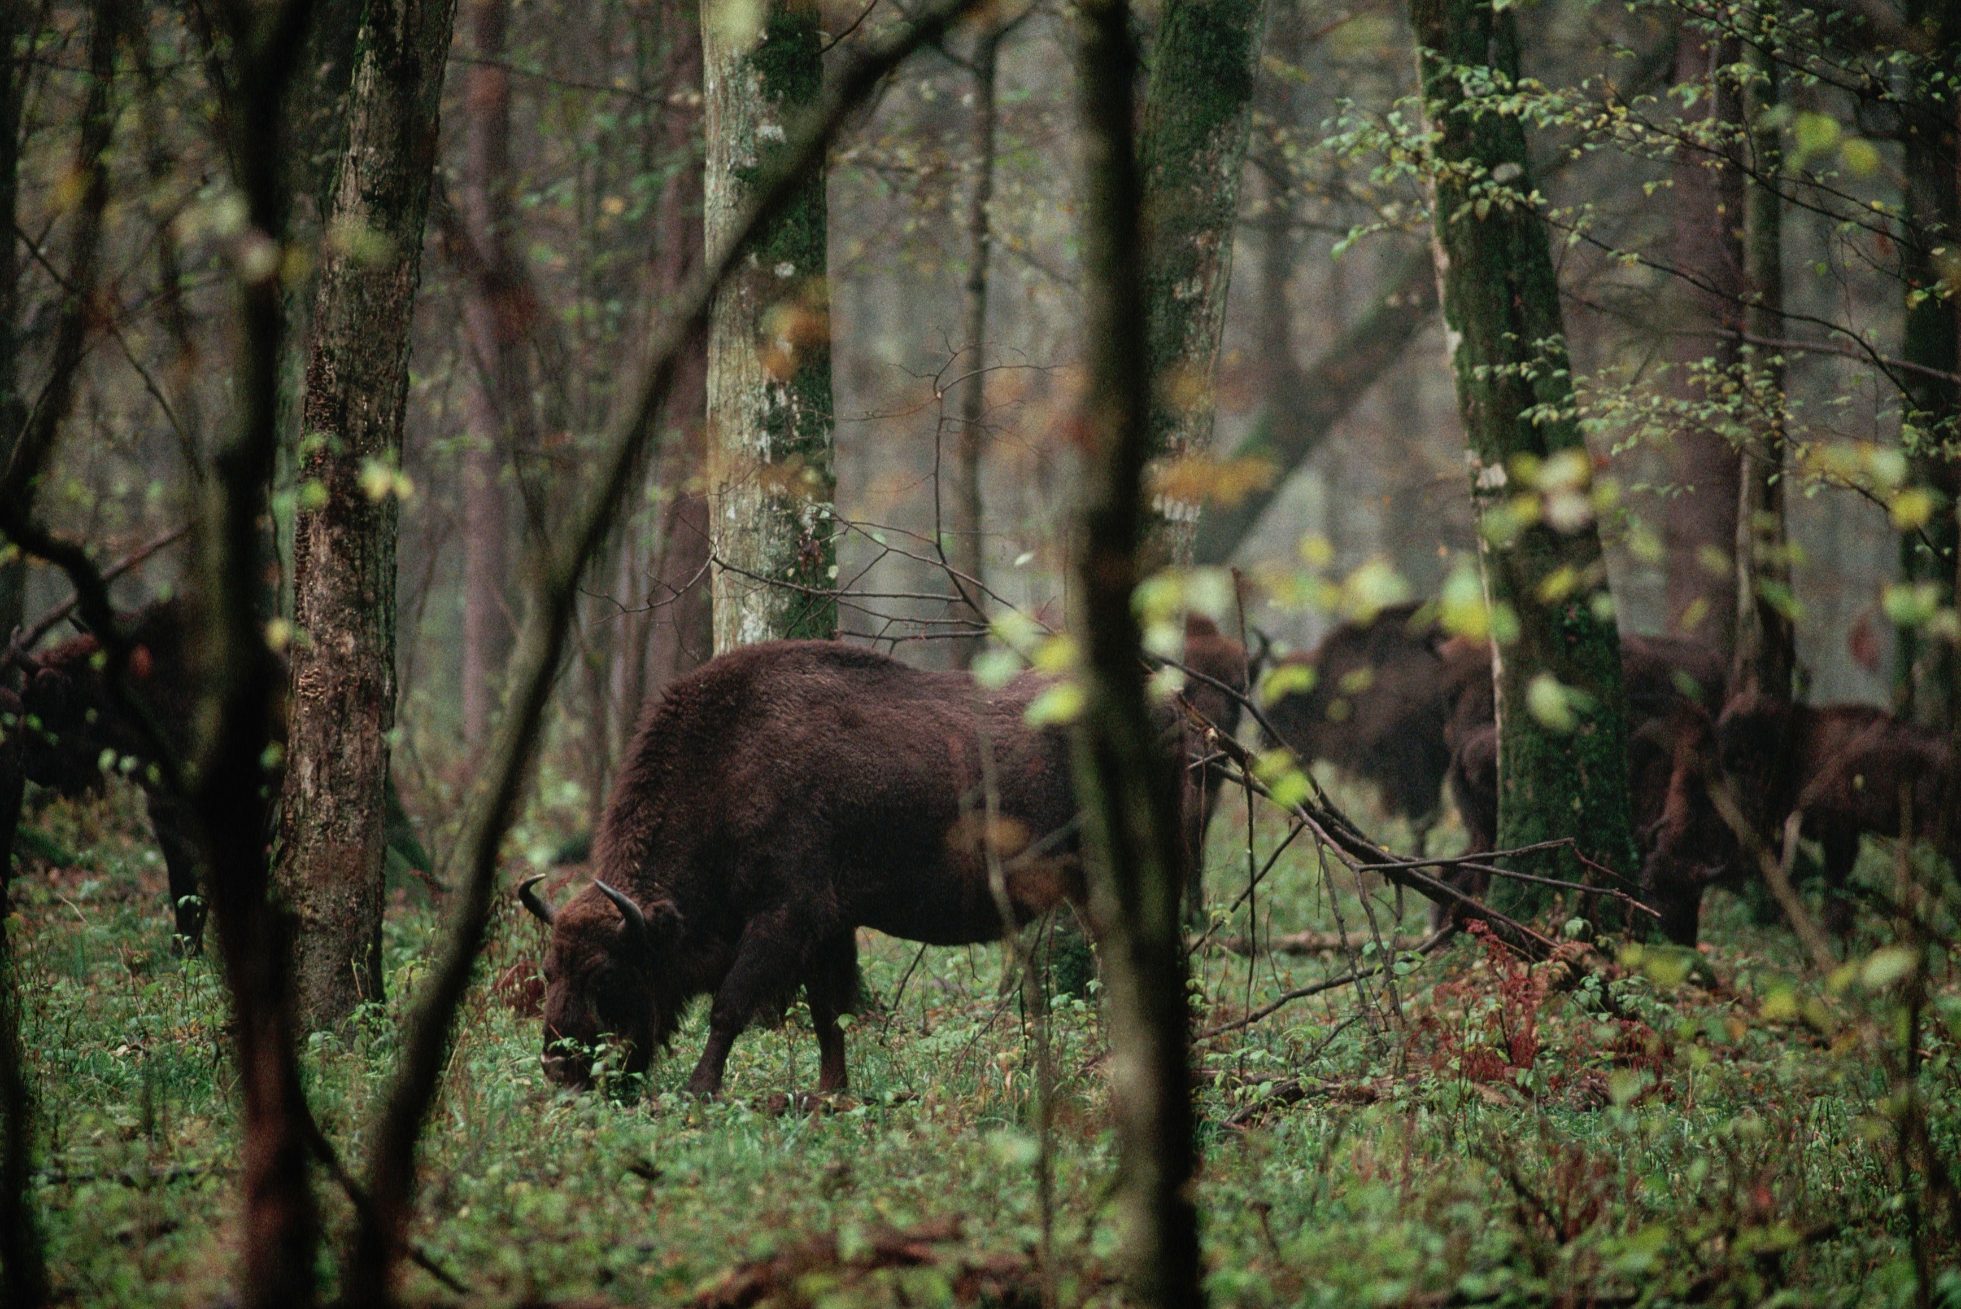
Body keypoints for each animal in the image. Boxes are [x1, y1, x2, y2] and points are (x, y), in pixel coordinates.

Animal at [513, 634, 1200, 1097]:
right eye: (549, 969)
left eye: (607, 970)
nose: (559, 1068)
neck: (730, 767)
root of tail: (1170, 710)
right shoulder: (827, 928)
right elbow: (828, 1015)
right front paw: (831, 1094)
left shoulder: (785, 918)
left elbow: (731, 1005)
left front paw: (699, 1090)